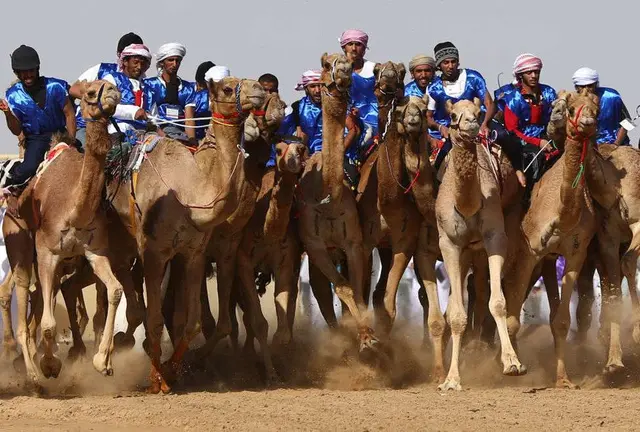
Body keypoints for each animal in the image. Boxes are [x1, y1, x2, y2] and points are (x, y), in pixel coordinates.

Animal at [6, 80, 124, 382]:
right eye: (91, 92)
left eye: (110, 86)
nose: (113, 91)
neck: (74, 210)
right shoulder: (47, 252)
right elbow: (48, 324)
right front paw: (50, 366)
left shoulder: (95, 252)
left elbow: (115, 291)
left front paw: (103, 362)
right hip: (20, 244)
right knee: (22, 289)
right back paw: (32, 374)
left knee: (40, 296)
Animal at [107, 76, 264, 394]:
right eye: (227, 88)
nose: (259, 90)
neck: (188, 192)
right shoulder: (154, 252)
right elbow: (156, 320)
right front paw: (156, 380)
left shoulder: (193, 254)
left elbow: (190, 322)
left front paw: (171, 371)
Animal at [436, 98, 524, 392]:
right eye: (453, 115)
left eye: (478, 112)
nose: (472, 124)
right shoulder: (449, 244)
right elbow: (456, 315)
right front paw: (451, 380)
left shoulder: (495, 237)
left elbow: (498, 302)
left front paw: (512, 363)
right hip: (465, 253)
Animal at [504, 88, 600, 388]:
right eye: (570, 108)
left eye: (597, 109)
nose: (587, 123)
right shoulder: (529, 252)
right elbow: (513, 318)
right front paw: (512, 367)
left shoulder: (575, 255)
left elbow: (560, 321)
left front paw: (564, 379)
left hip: (546, 263)